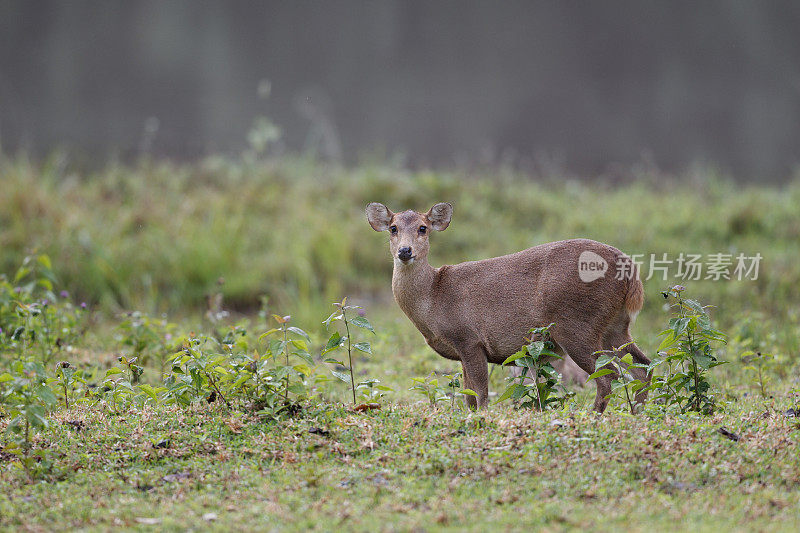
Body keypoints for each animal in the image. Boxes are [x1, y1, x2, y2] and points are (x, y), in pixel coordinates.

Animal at [368, 201, 648, 412]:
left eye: (423, 228)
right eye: (393, 228)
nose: (405, 251)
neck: (434, 298)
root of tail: (630, 270)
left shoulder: (469, 338)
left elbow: (480, 394)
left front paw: (482, 418)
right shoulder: (462, 348)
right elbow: (468, 396)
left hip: (577, 324)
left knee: (608, 376)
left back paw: (594, 415)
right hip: (615, 326)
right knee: (642, 368)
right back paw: (638, 412)